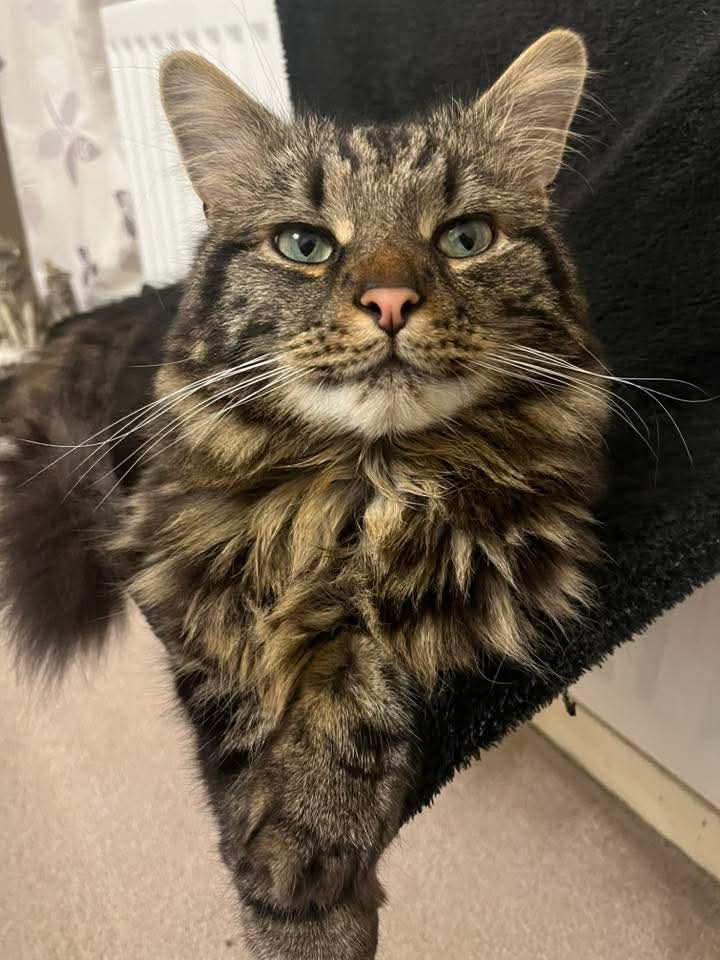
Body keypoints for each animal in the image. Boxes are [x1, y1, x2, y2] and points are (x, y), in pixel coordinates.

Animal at [0, 29, 608, 960]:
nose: (390, 300)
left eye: (466, 238)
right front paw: (293, 905)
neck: (364, 482)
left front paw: (312, 842)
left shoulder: (483, 565)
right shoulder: (181, 581)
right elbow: (246, 722)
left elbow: (357, 672)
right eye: (305, 246)